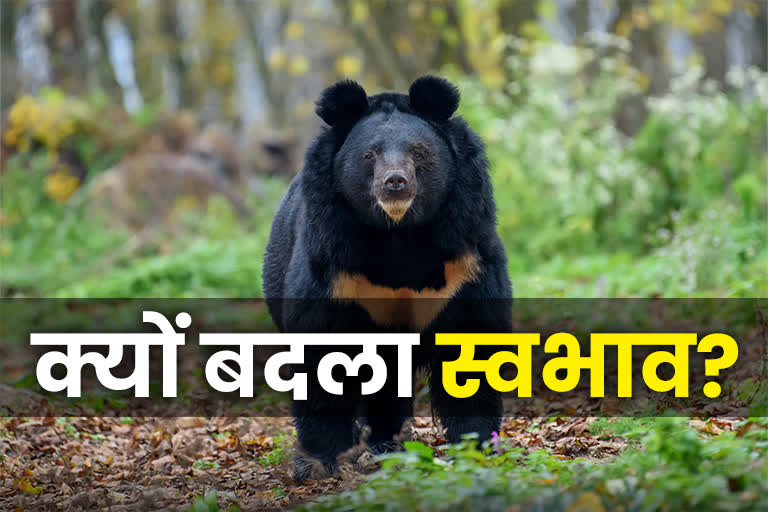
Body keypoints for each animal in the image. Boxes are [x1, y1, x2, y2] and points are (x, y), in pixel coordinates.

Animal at [262, 75, 512, 483]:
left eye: (419, 152)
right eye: (369, 155)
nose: (395, 182)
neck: (398, 233)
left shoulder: (466, 258)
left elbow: (473, 348)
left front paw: (476, 448)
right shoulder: (334, 265)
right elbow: (320, 355)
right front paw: (317, 464)